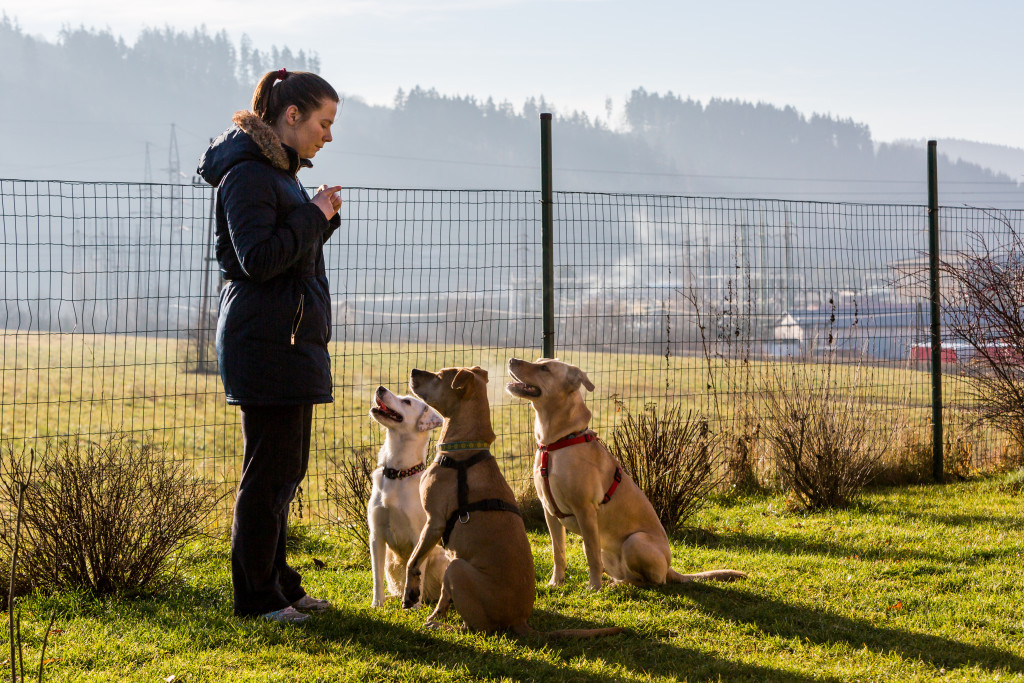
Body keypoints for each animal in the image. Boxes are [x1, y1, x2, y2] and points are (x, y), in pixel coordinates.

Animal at [368, 387, 448, 606]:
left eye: (407, 401)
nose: (380, 388)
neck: (398, 474)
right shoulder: (376, 536)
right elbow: (376, 577)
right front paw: (377, 604)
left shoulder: (417, 535)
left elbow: (416, 570)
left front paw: (415, 607)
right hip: (390, 561)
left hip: (441, 559)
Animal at [403, 366, 618, 638]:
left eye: (439, 375)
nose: (413, 370)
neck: (463, 452)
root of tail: (520, 620)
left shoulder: (434, 522)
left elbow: (413, 560)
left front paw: (409, 594)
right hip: (454, 567)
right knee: (448, 597)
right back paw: (437, 618)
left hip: (458, 568)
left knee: (475, 628)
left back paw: (443, 625)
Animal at [507, 360, 749, 589]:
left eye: (545, 368)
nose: (511, 359)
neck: (557, 443)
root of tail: (669, 568)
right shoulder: (550, 512)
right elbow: (558, 553)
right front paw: (556, 583)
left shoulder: (585, 511)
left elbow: (591, 557)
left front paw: (594, 587)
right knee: (632, 575)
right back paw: (616, 582)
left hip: (635, 541)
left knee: (653, 582)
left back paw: (618, 585)